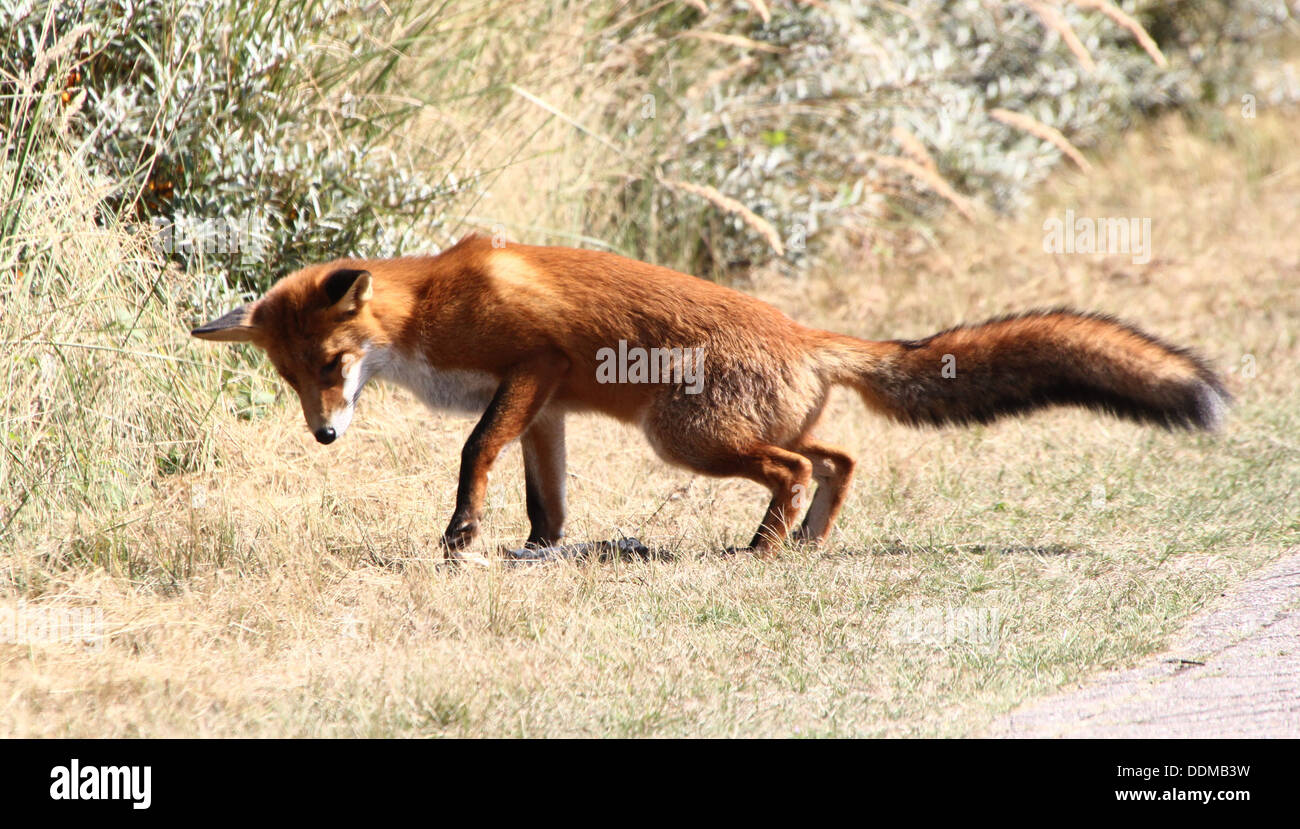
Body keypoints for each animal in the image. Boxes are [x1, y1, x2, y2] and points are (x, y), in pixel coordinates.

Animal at [192, 233, 1227, 558]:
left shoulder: (530, 368)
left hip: (686, 439)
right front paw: (536, 550)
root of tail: (805, 333)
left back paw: (764, 546)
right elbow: (544, 499)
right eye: (292, 379)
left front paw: (461, 536)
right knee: (838, 457)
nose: (324, 436)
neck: (434, 306)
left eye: (334, 364)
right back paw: (806, 539)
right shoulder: (550, 409)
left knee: (794, 468)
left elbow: (473, 451)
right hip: (731, 433)